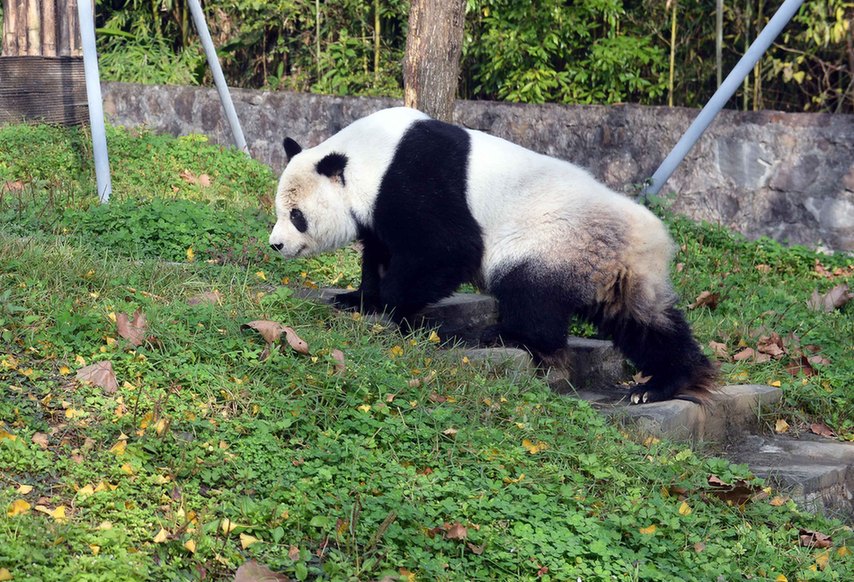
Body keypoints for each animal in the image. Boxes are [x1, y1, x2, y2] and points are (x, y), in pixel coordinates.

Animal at [270, 107, 720, 404]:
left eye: (296, 216)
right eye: (280, 209)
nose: (276, 244)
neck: (369, 155)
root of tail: (647, 241)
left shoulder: (416, 181)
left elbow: (446, 249)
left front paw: (396, 308)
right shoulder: (379, 207)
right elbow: (379, 251)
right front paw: (358, 299)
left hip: (554, 241)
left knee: (530, 293)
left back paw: (508, 336)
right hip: (613, 267)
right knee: (643, 322)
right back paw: (665, 382)